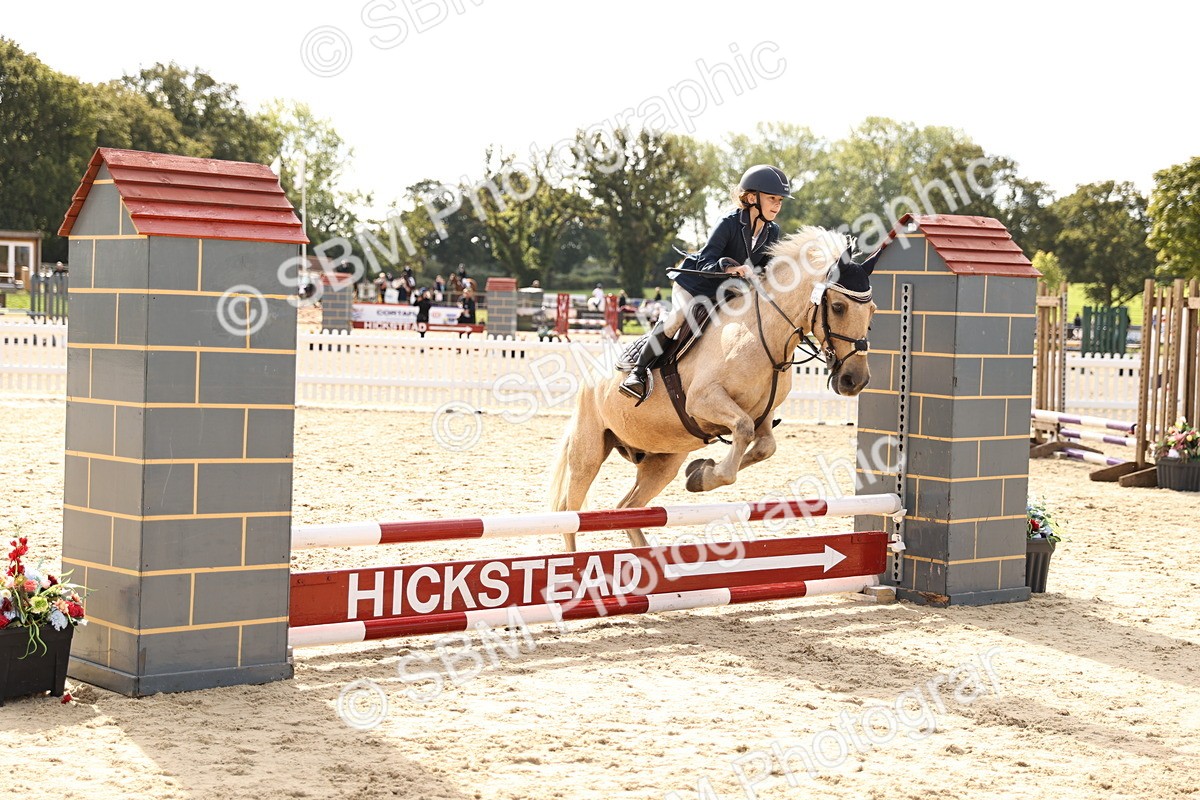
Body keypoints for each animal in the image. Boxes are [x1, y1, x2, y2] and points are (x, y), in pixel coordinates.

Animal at [548, 226, 878, 551]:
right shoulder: (703, 401)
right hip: (589, 452)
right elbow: (740, 434)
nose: (855, 381)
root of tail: (590, 377)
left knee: (627, 508)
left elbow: (764, 447)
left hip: (663, 460)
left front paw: (698, 474)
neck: (763, 335)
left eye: (872, 311)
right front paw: (705, 475)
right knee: (569, 513)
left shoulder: (764, 414)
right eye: (838, 307)